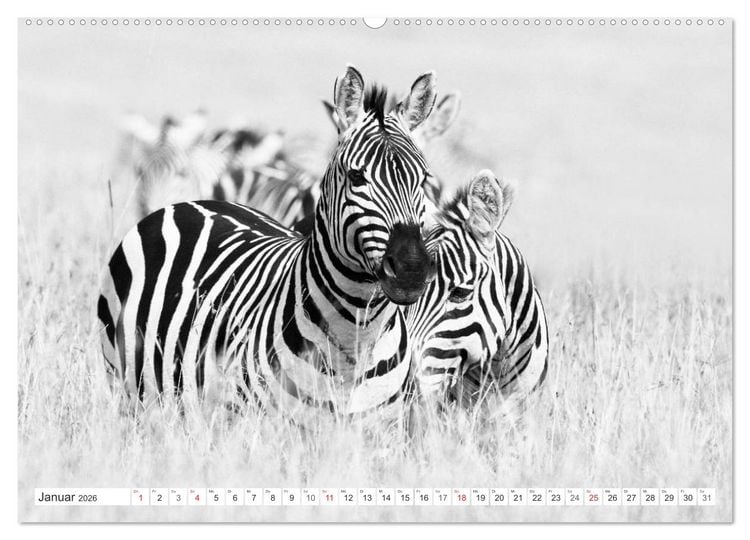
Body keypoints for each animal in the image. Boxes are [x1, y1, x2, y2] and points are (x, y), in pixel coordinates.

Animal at [97, 66, 441, 426]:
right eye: (357, 177)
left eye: (423, 179)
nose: (411, 270)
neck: (357, 338)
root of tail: (191, 203)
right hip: (127, 385)